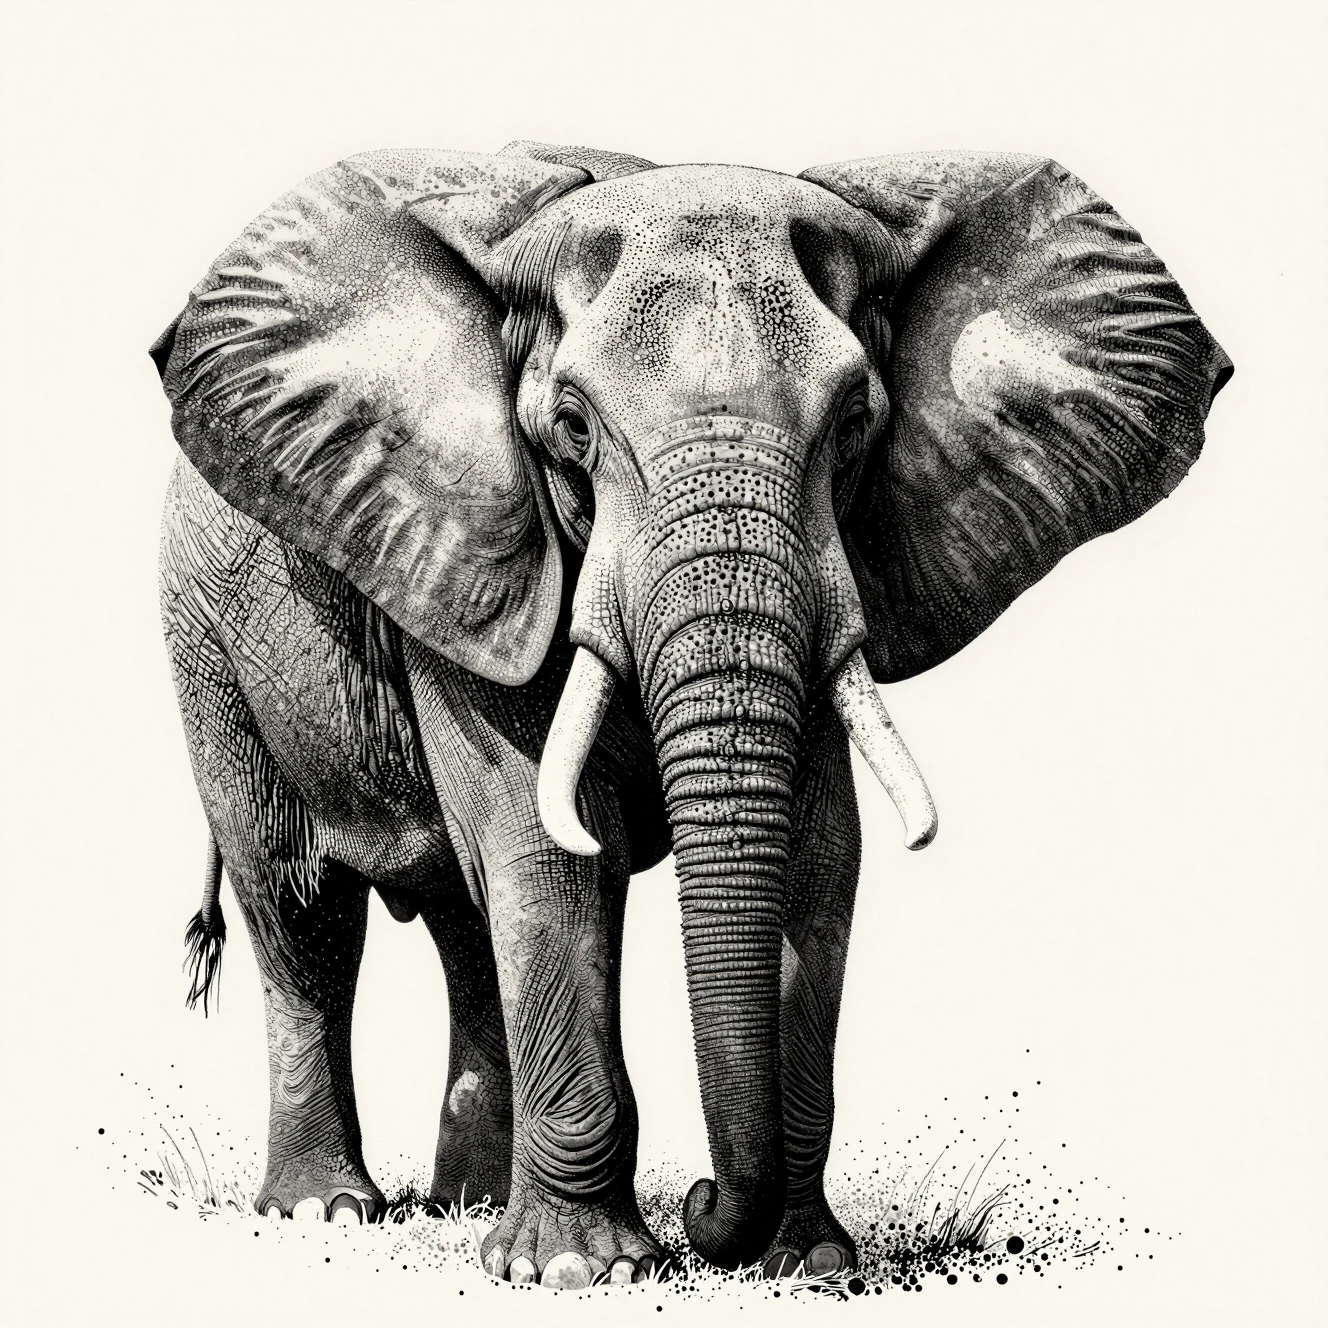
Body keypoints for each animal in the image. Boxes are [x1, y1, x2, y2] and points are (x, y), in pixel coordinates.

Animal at [152, 139, 1230, 1285]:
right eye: (571, 429)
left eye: (857, 423)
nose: (706, 1201)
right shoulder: (488, 558)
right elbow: (548, 851)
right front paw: (577, 1273)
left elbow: (816, 856)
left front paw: (808, 1264)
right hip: (207, 645)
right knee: (299, 904)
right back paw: (328, 1211)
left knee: (462, 925)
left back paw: (465, 1204)